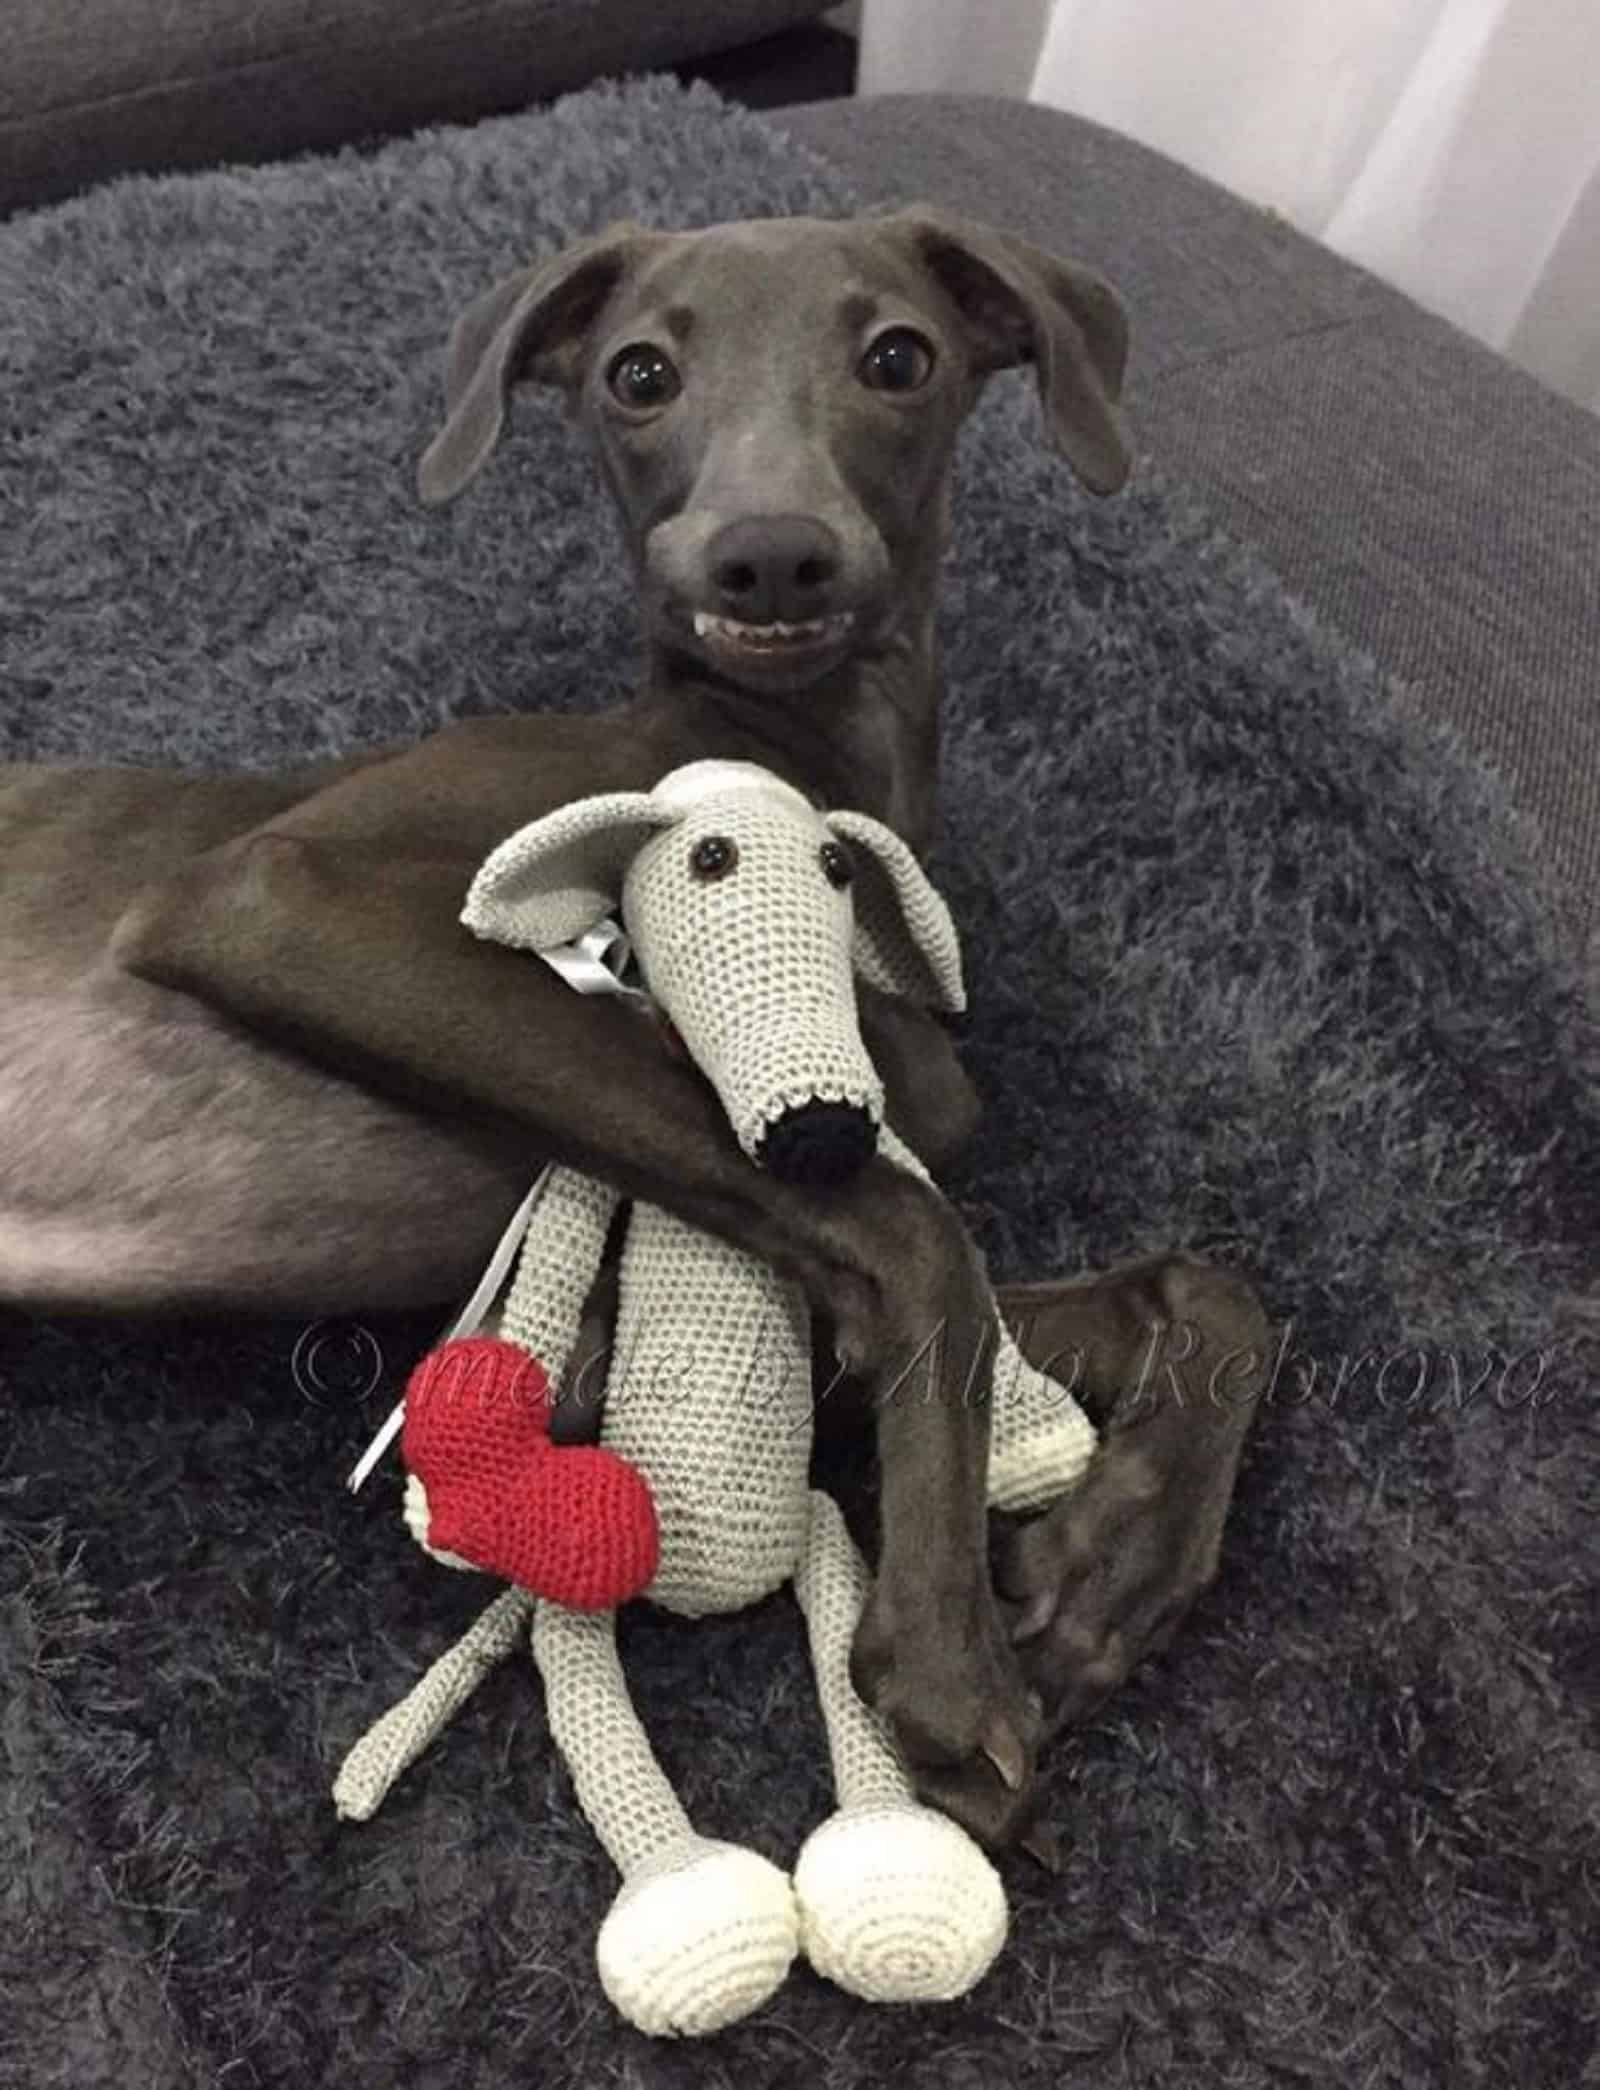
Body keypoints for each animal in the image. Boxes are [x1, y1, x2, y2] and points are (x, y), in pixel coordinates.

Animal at [6, 207, 1269, 1847]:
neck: (794, 756)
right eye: (640, 374)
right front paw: (945, 1650)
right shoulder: (276, 897)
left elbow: (1209, 1292)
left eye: (899, 357)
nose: (771, 551)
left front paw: (1104, 1573)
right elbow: (921, 1230)